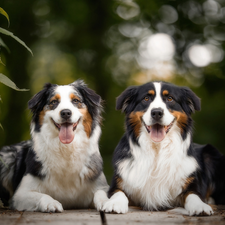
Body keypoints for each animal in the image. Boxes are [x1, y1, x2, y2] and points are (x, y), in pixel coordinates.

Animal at [0, 80, 109, 212]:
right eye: (54, 102)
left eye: (75, 100)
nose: (66, 112)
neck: (66, 149)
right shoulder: (20, 194)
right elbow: (42, 195)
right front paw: (51, 203)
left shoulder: (99, 184)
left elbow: (101, 193)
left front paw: (107, 202)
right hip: (7, 158)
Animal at [101, 81, 225, 215]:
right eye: (146, 98)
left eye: (170, 98)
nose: (156, 112)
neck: (157, 149)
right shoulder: (119, 183)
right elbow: (119, 193)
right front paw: (115, 203)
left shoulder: (191, 184)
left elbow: (194, 195)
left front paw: (200, 206)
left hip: (211, 154)